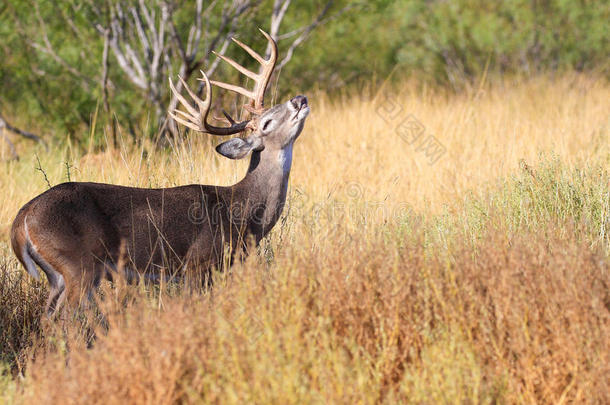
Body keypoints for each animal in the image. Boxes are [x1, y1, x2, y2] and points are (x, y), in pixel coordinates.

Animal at [7, 30, 306, 318]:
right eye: (266, 122)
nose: (299, 99)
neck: (241, 210)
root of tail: (22, 219)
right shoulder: (197, 265)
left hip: (58, 275)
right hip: (77, 264)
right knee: (64, 321)